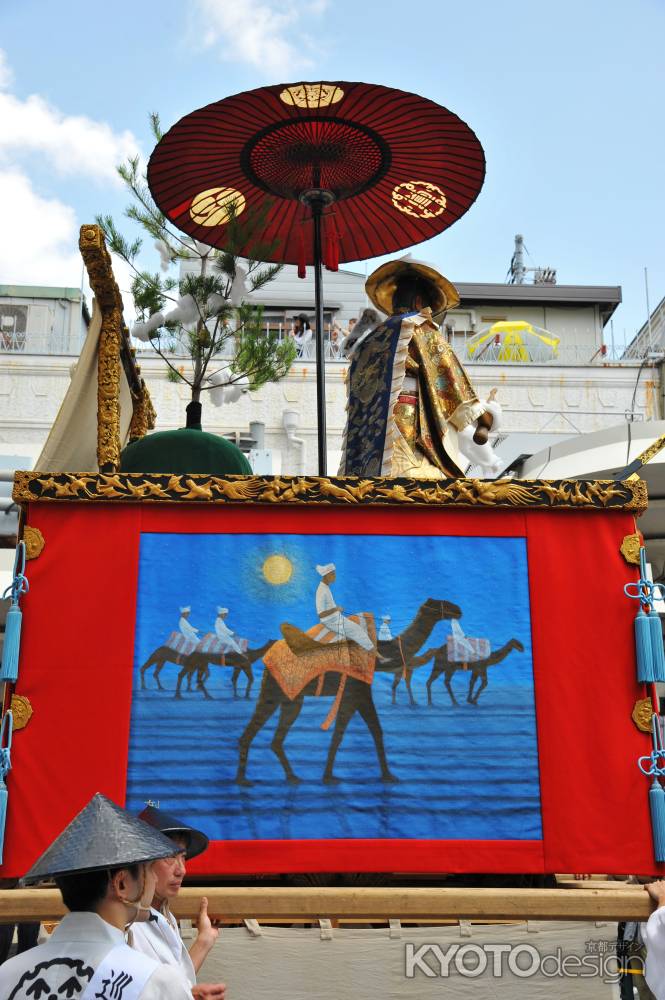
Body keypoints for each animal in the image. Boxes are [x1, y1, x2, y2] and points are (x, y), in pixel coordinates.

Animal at [236, 596, 460, 784]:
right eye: (440, 604)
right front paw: (382, 776)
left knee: (275, 738)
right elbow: (357, 731)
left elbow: (359, 731)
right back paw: (242, 780)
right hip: (274, 689)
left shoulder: (355, 692)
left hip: (291, 697)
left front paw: (334, 775)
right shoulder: (357, 689)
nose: (458, 610)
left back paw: (291, 777)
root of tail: (267, 658)